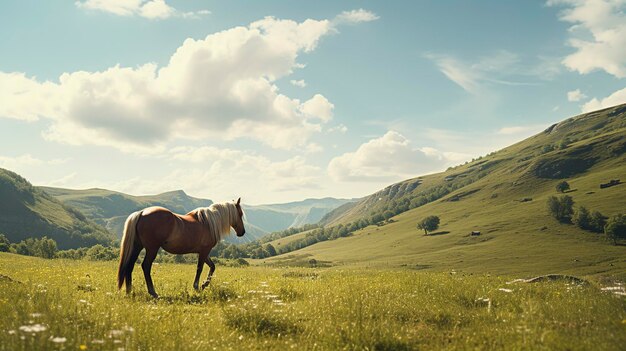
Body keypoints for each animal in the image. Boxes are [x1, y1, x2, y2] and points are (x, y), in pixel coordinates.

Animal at [116, 198, 245, 296]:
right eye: (240, 214)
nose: (242, 232)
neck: (209, 223)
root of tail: (142, 212)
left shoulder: (203, 252)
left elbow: (212, 266)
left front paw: (204, 284)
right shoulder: (204, 251)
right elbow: (200, 268)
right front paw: (197, 286)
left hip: (137, 247)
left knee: (130, 265)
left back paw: (129, 291)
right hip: (152, 249)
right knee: (146, 266)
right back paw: (153, 292)